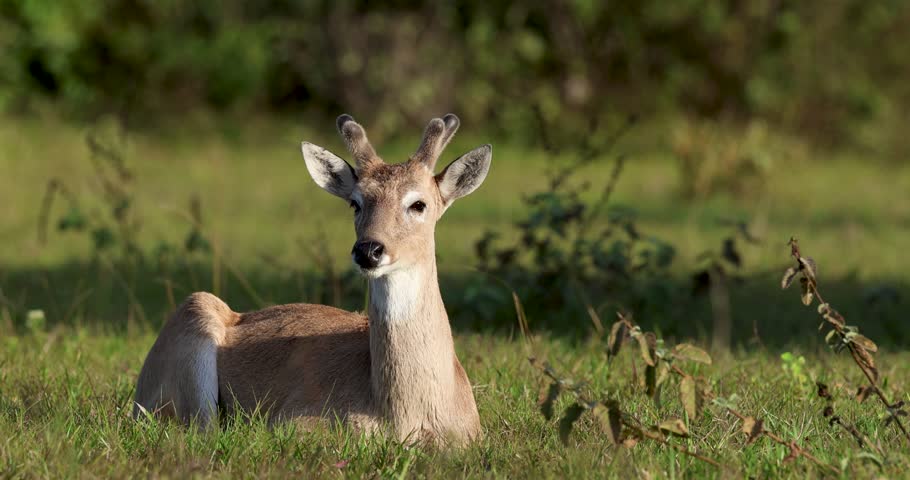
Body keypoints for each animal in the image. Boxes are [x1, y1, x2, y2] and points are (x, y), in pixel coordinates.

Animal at [133, 114, 491, 446]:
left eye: (419, 204)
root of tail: (138, 394)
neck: (406, 416)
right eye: (355, 202)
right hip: (194, 318)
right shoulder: (291, 419)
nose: (369, 250)